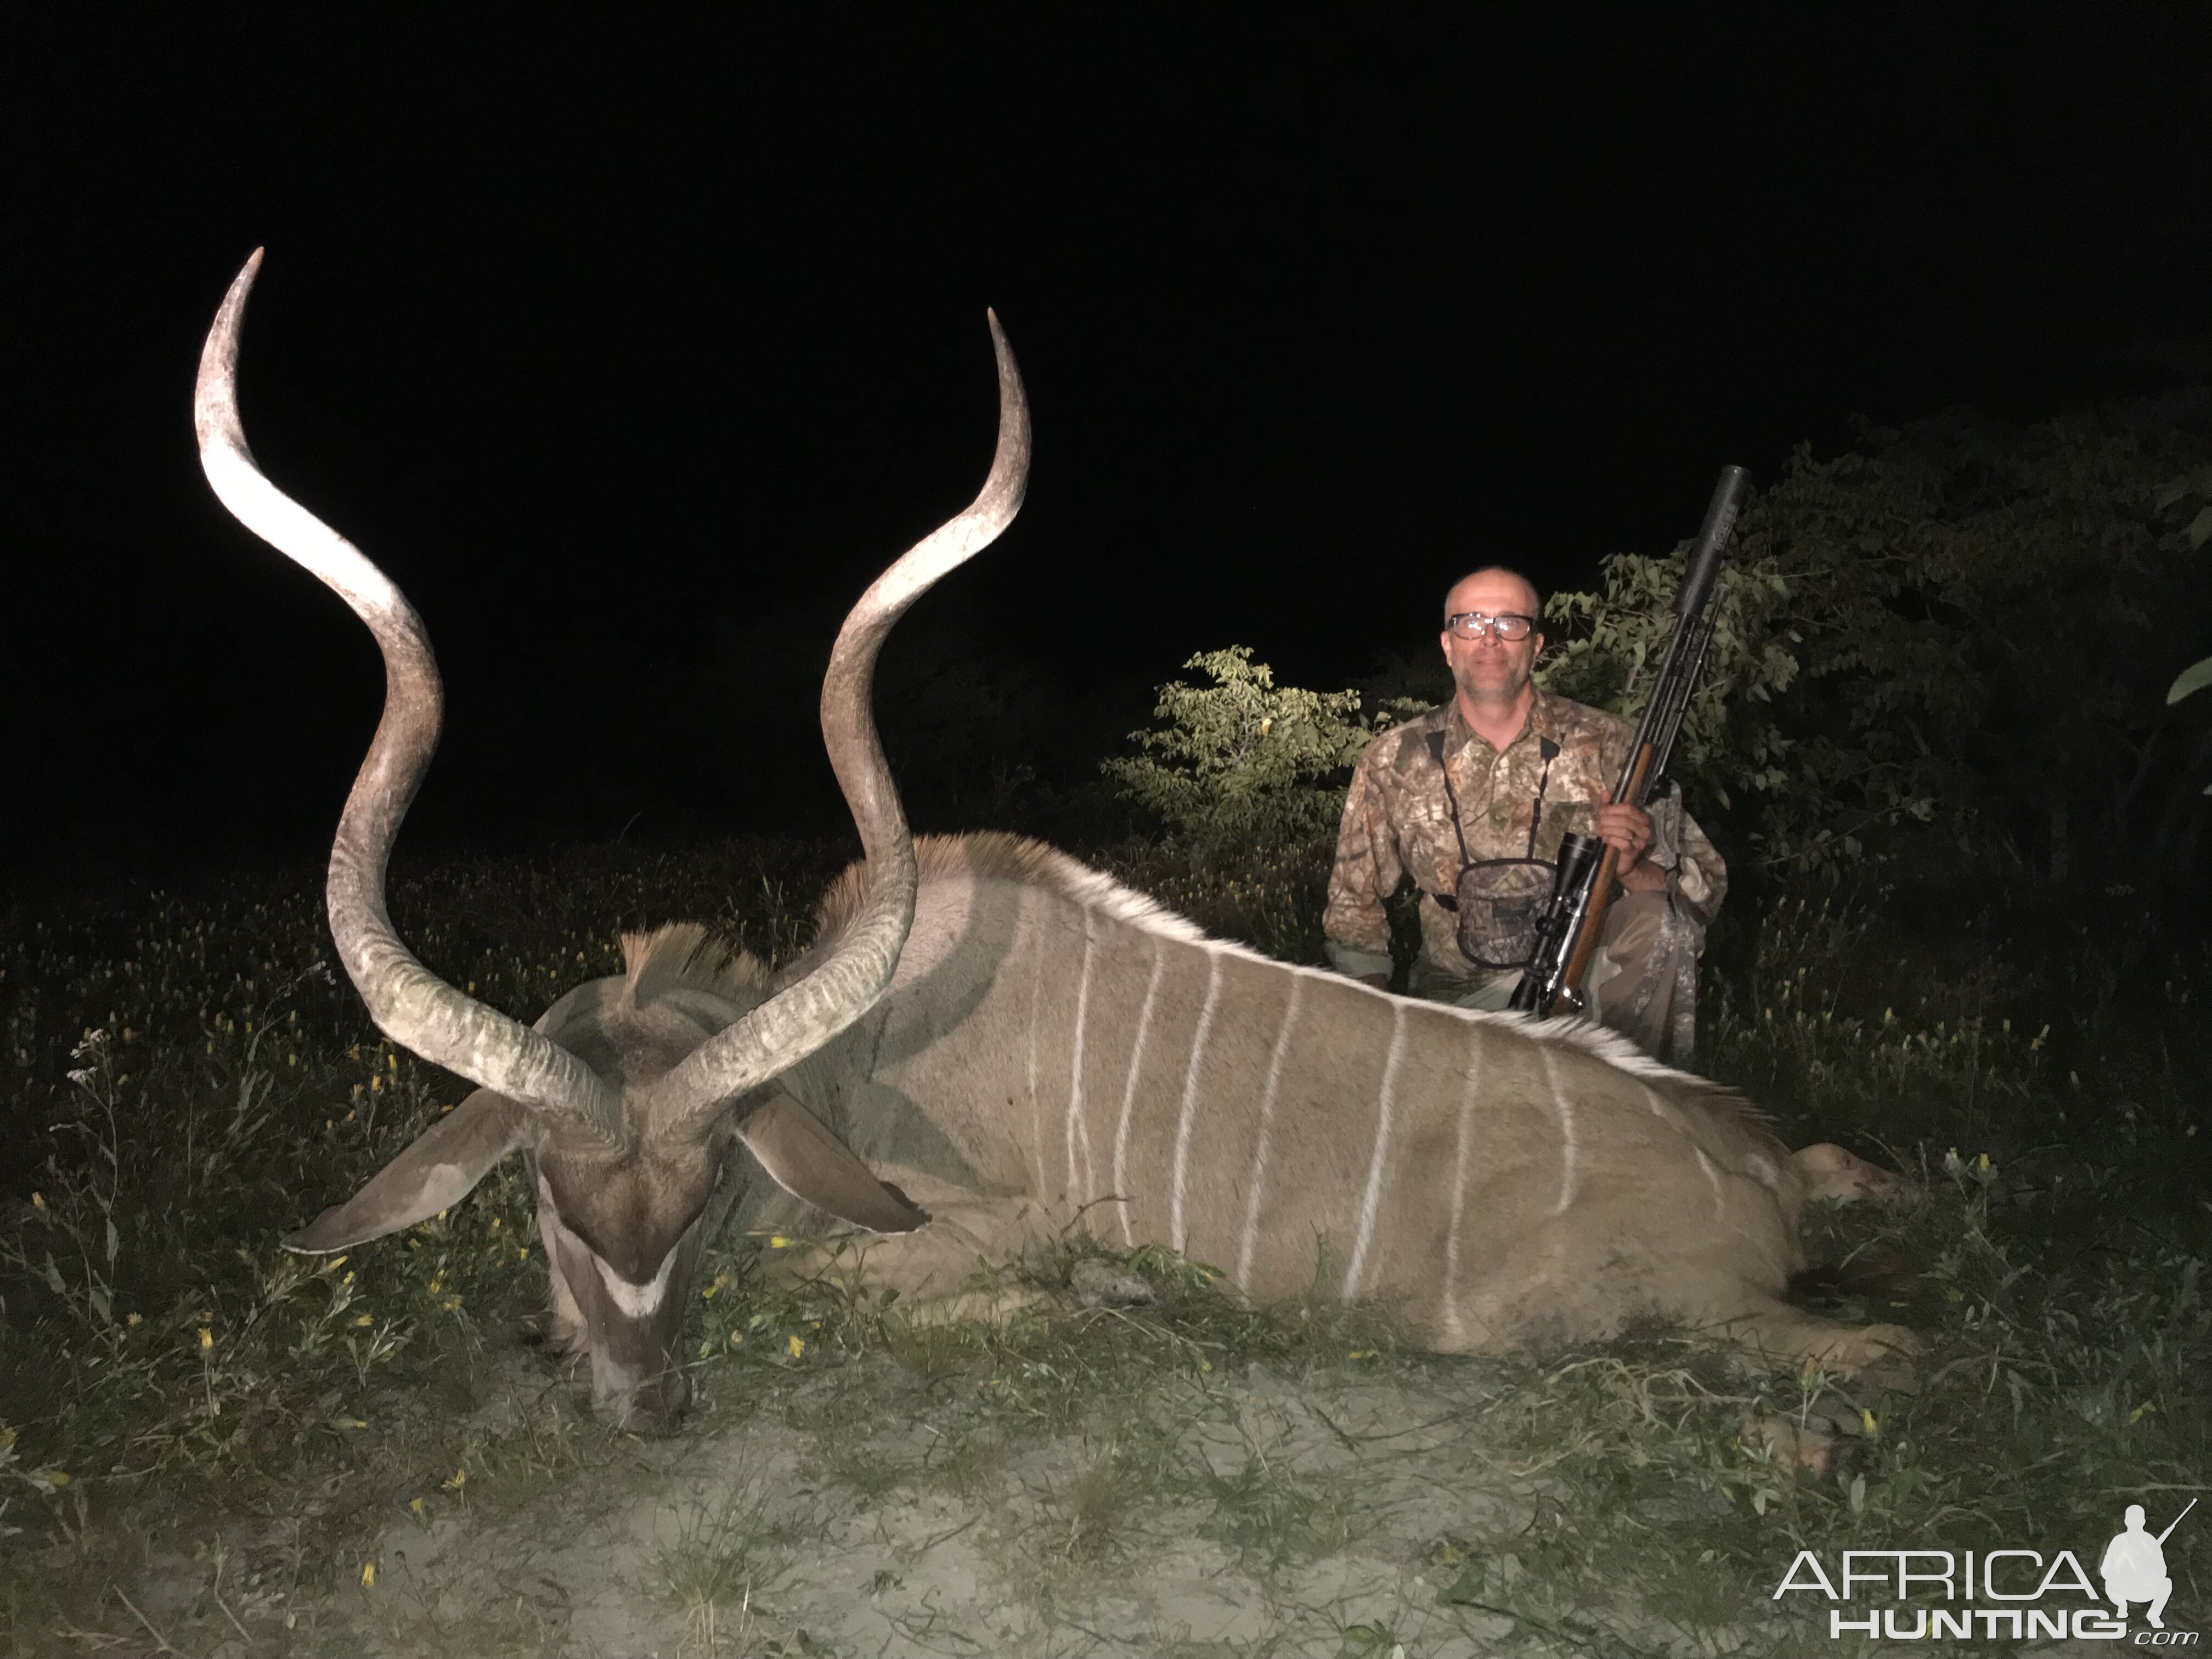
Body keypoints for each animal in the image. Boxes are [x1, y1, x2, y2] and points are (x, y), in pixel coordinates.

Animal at [199, 256, 1911, 1433]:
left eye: (703, 1192)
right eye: (552, 1201)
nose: (643, 1408)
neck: (848, 1073)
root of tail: (1750, 1173)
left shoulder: (948, 1238)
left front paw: (1099, 1295)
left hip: (1657, 1323)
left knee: (1855, 1345)